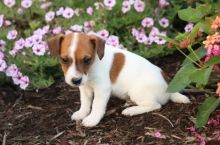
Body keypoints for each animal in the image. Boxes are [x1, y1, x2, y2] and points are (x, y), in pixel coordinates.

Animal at [48, 32, 191, 127]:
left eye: (87, 60)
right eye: (64, 60)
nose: (75, 81)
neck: (93, 66)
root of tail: (168, 87)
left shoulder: (102, 89)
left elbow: (96, 105)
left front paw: (92, 119)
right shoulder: (85, 87)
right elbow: (85, 102)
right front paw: (82, 113)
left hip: (137, 91)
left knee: (155, 105)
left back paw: (131, 111)